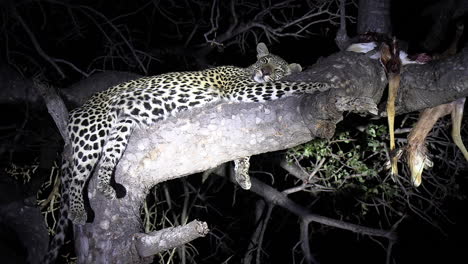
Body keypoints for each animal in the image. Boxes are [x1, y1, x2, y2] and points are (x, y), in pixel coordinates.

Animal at [44, 42, 330, 262]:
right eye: (264, 60)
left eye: (278, 68)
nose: (264, 71)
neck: (247, 71)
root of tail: (77, 111)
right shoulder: (242, 89)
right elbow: (285, 87)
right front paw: (319, 85)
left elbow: (244, 150)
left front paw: (243, 176)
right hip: (95, 127)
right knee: (77, 175)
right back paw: (78, 211)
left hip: (121, 127)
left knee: (106, 159)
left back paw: (105, 187)